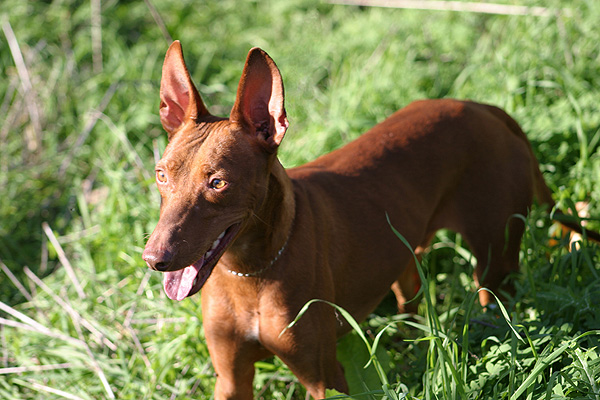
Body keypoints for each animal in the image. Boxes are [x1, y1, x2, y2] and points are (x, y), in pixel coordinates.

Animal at [142, 41, 596, 400]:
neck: (250, 274)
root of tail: (485, 109)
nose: (153, 259)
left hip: (495, 270)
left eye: (218, 182)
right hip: (408, 255)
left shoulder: (324, 379)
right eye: (161, 174)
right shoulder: (232, 380)